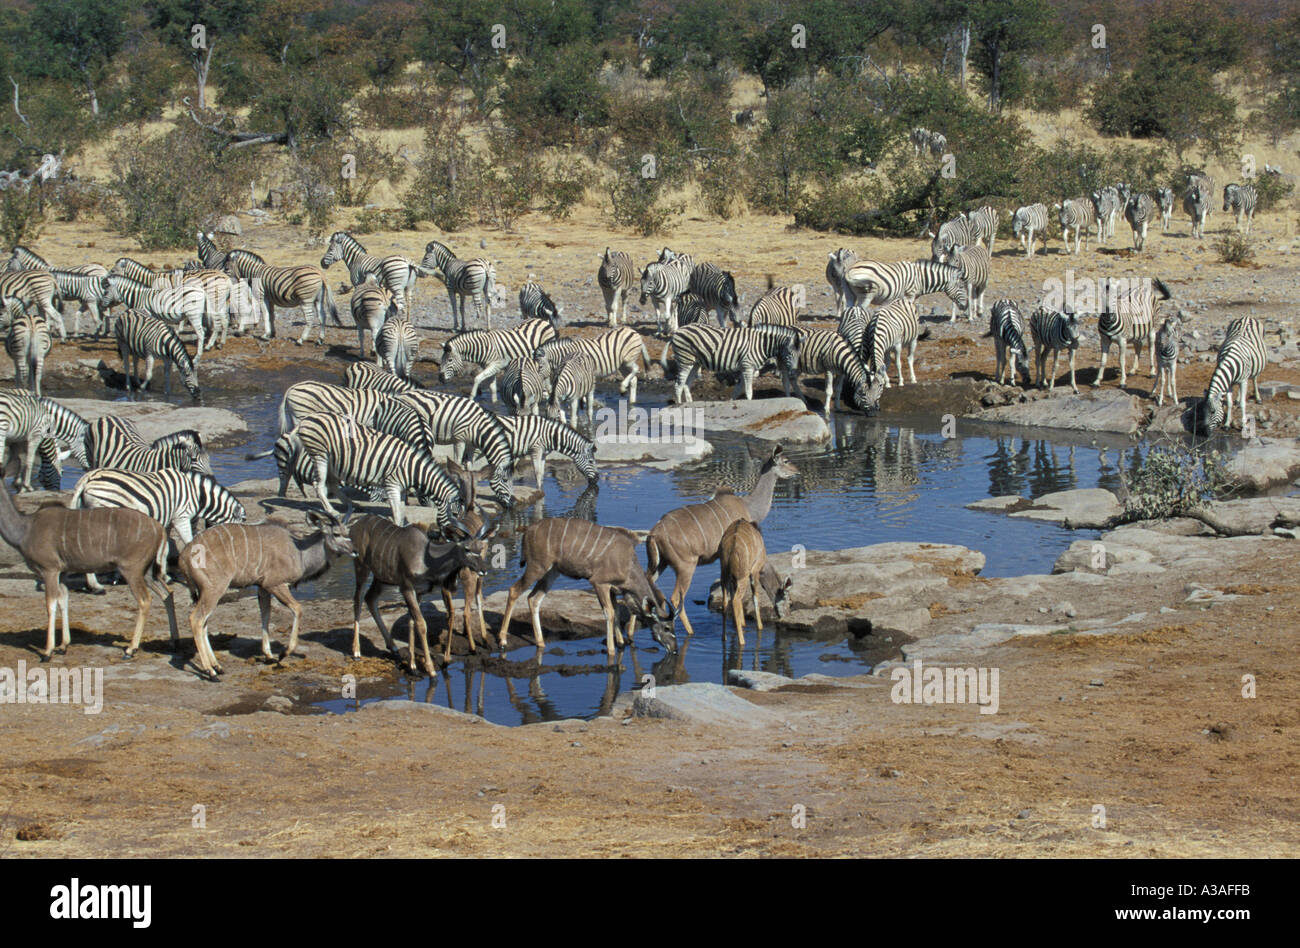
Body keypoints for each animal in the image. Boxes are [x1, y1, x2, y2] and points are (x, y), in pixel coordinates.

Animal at [287, 412, 463, 527]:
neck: (413, 469)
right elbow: (396, 513)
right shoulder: (392, 484)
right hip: (320, 455)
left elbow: (401, 510)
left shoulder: (401, 488)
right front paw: (398, 529)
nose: (458, 538)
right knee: (319, 485)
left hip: (332, 460)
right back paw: (333, 511)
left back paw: (352, 505)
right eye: (455, 515)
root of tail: (306, 419)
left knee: (331, 484)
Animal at [664, 323, 801, 403]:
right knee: (678, 385)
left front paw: (731, 401)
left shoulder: (746, 368)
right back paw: (680, 405)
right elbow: (748, 391)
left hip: (695, 362)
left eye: (799, 354)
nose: (793, 372)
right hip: (685, 359)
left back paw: (690, 404)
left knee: (686, 384)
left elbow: (739, 389)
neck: (761, 344)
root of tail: (677, 331)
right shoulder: (747, 366)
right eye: (789, 353)